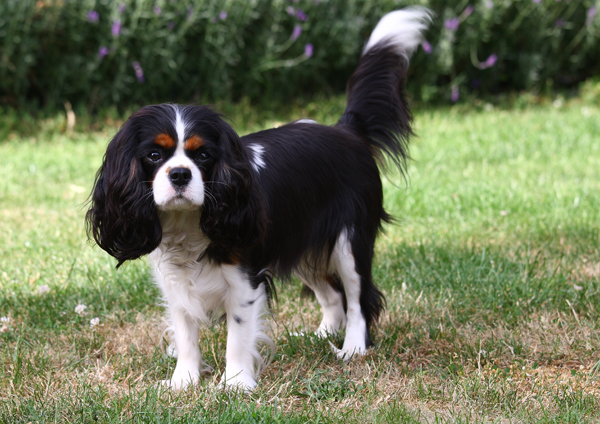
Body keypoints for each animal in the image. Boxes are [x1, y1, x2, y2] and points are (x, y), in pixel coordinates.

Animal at [85, 7, 432, 390]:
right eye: (154, 155)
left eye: (203, 155)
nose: (179, 174)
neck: (189, 223)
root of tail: (346, 131)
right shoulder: (175, 283)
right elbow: (185, 331)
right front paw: (183, 382)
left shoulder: (245, 280)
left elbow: (237, 336)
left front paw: (236, 384)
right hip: (303, 245)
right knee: (332, 296)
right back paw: (321, 335)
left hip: (348, 242)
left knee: (357, 298)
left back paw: (352, 347)